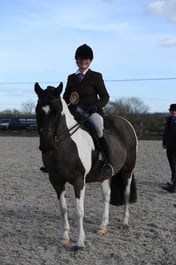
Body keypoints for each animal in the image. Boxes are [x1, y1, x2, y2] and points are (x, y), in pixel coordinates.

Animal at [34, 82, 138, 250]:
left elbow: (79, 211)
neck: (66, 144)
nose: (46, 145)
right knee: (106, 196)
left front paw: (79, 242)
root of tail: (124, 121)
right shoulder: (56, 181)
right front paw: (65, 237)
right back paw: (102, 226)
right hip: (105, 175)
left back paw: (124, 223)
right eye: (38, 110)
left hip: (127, 170)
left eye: (56, 111)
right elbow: (63, 208)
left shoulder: (78, 181)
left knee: (126, 193)